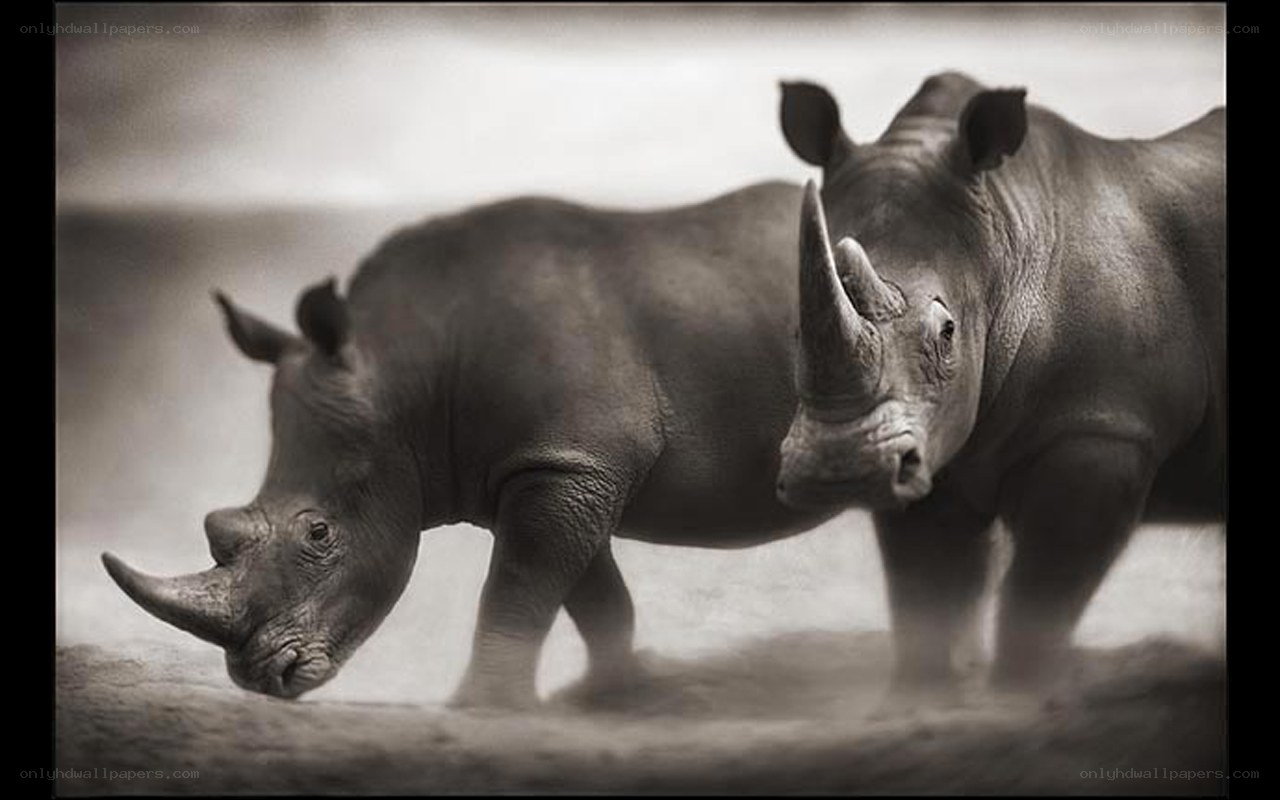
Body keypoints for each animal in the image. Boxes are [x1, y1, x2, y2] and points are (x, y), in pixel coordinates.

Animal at [102, 182, 840, 706]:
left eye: (319, 533)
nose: (260, 678)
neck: (405, 369)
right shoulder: (557, 465)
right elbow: (590, 595)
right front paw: (610, 695)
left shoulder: (567, 464)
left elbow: (516, 589)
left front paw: (480, 707)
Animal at [775, 72, 1225, 690]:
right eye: (794, 329)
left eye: (947, 332)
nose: (840, 470)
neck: (1004, 245)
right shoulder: (929, 437)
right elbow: (925, 593)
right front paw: (922, 697)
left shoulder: (1103, 428)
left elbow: (1039, 599)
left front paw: (1020, 696)